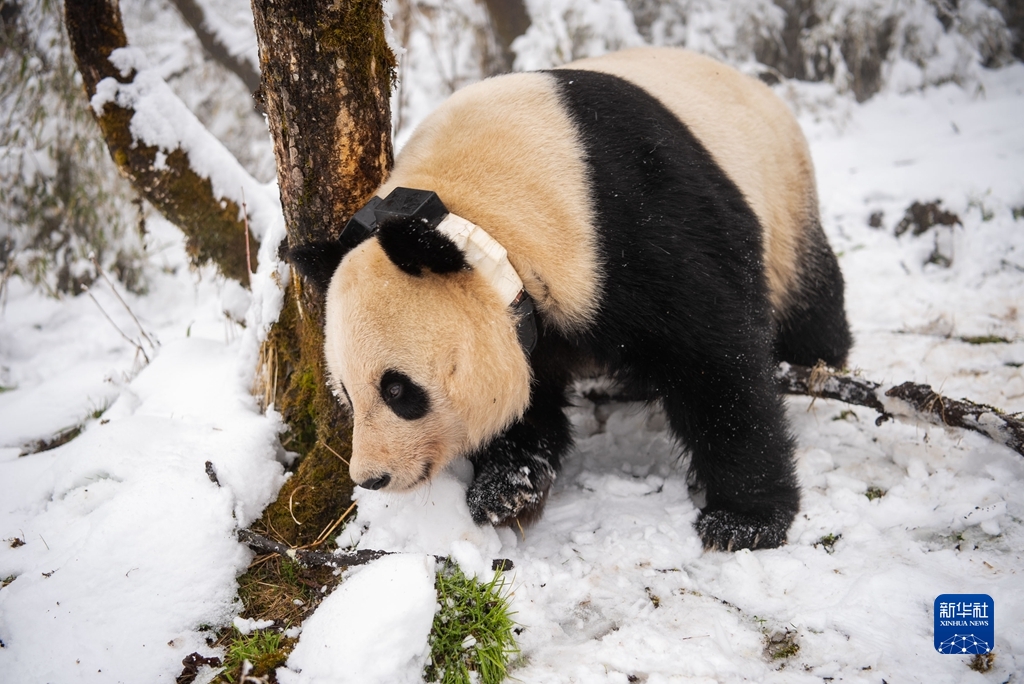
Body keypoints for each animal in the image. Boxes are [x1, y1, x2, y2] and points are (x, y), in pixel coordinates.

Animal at [290, 46, 856, 548]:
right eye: (346, 392)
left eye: (398, 390)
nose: (372, 477)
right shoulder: (530, 316)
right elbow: (528, 396)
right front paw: (506, 489)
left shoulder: (631, 225)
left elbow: (716, 360)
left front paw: (744, 521)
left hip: (783, 199)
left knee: (811, 302)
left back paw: (821, 364)